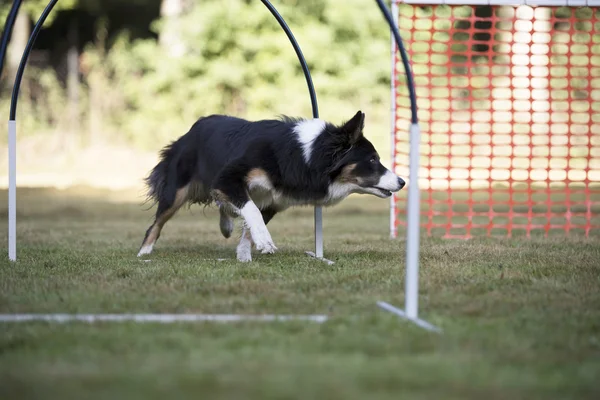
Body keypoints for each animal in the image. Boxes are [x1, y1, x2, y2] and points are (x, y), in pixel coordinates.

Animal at [138, 111, 406, 260]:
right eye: (372, 160)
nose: (402, 182)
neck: (306, 155)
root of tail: (193, 128)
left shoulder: (274, 200)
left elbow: (249, 223)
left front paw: (244, 254)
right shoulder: (229, 177)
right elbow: (251, 212)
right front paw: (265, 242)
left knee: (224, 206)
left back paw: (226, 226)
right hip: (178, 189)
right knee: (157, 223)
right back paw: (144, 252)